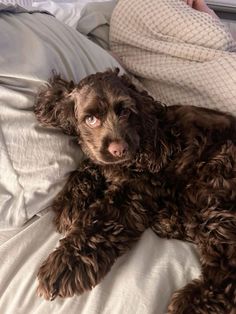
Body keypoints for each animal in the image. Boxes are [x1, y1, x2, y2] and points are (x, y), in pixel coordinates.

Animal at [34, 69, 235, 314]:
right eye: (91, 119)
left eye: (125, 112)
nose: (118, 149)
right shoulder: (104, 161)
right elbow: (88, 166)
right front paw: (69, 205)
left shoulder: (134, 191)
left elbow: (98, 223)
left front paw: (65, 265)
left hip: (212, 185)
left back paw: (190, 303)